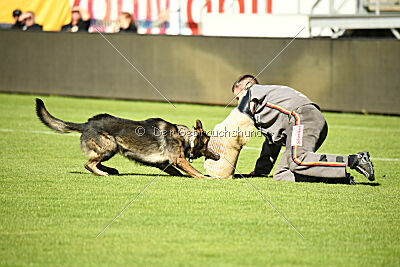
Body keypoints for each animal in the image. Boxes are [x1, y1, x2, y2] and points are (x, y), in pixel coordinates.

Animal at [36, 99, 220, 180]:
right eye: (207, 144)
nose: (218, 156)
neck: (184, 137)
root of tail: (87, 124)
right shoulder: (179, 159)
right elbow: (194, 171)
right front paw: (207, 178)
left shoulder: (164, 163)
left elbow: (180, 173)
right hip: (109, 146)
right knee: (89, 164)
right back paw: (103, 173)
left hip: (110, 149)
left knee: (94, 162)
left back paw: (111, 170)